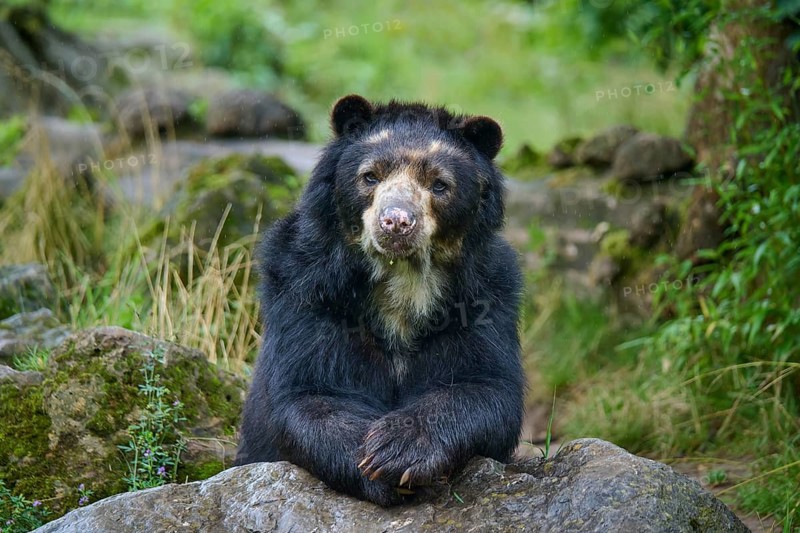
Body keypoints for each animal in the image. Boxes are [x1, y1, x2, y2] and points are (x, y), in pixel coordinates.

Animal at [235, 94, 525, 507]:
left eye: (440, 185)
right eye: (370, 176)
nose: (397, 222)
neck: (401, 281)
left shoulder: (482, 298)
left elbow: (486, 387)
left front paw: (398, 450)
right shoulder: (310, 293)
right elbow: (311, 392)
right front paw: (374, 465)